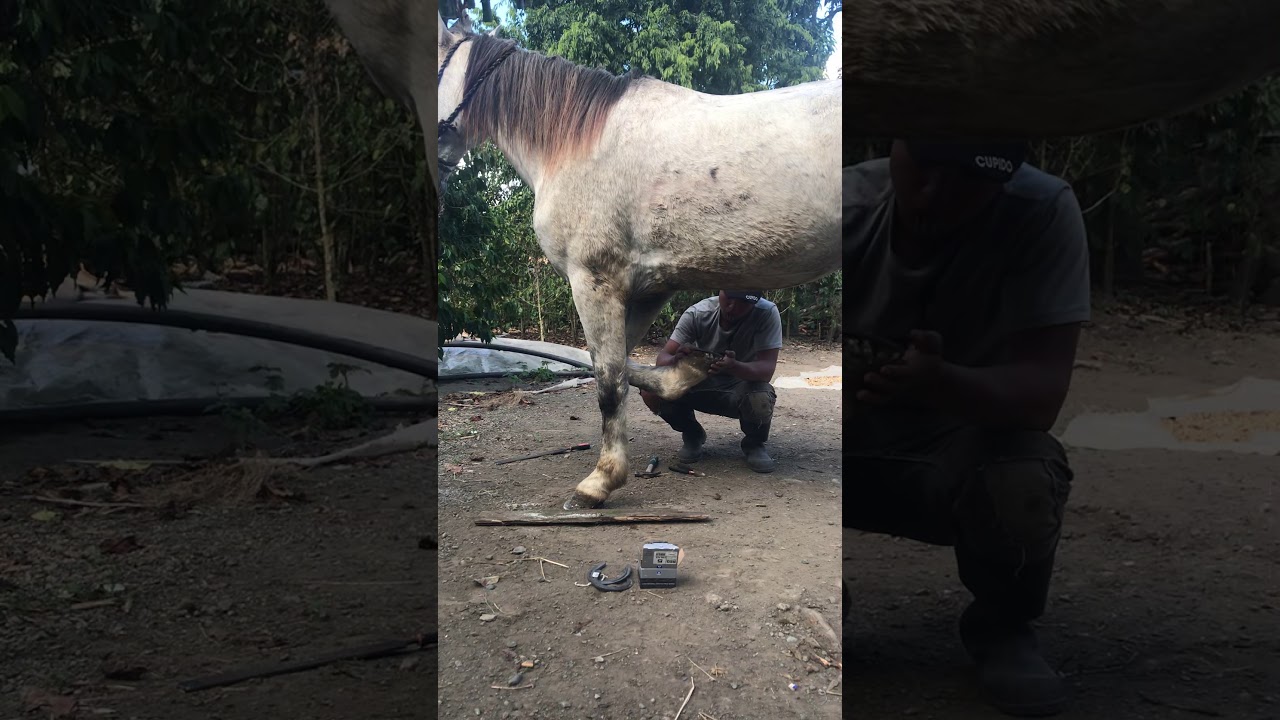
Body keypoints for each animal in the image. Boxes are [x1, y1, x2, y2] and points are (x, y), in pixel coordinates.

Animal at [435, 12, 842, 509]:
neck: (574, 145)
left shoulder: (594, 282)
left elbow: (609, 379)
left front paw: (600, 481)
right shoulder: (650, 289)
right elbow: (621, 366)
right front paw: (689, 371)